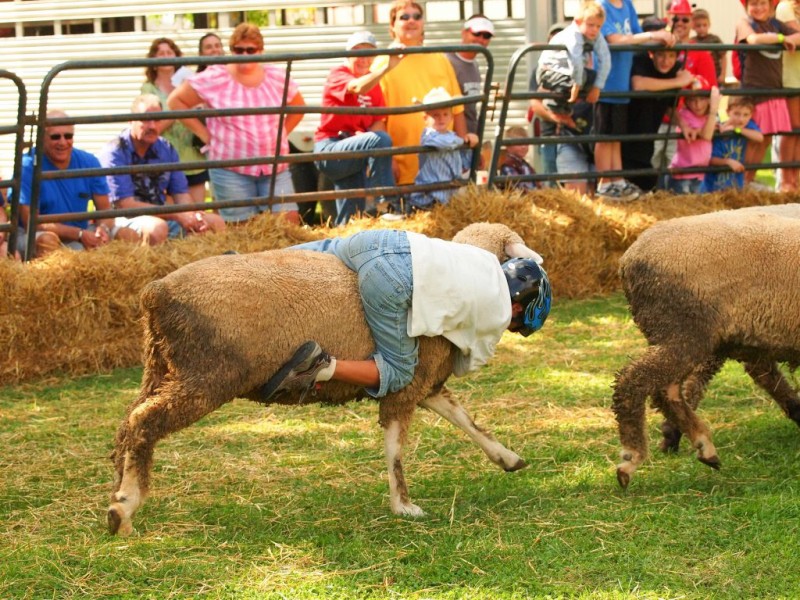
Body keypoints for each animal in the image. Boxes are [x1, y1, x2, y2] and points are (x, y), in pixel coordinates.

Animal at [108, 223, 537, 535]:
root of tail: (156, 293)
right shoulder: (405, 384)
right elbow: (396, 448)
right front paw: (403, 505)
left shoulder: (424, 383)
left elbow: (465, 419)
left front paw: (507, 458)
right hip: (206, 376)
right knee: (144, 422)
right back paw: (124, 506)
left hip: (162, 367)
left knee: (128, 422)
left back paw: (118, 487)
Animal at [612, 204, 800, 489]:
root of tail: (629, 259)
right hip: (685, 330)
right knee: (633, 381)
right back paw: (632, 457)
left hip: (690, 336)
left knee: (666, 390)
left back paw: (701, 444)